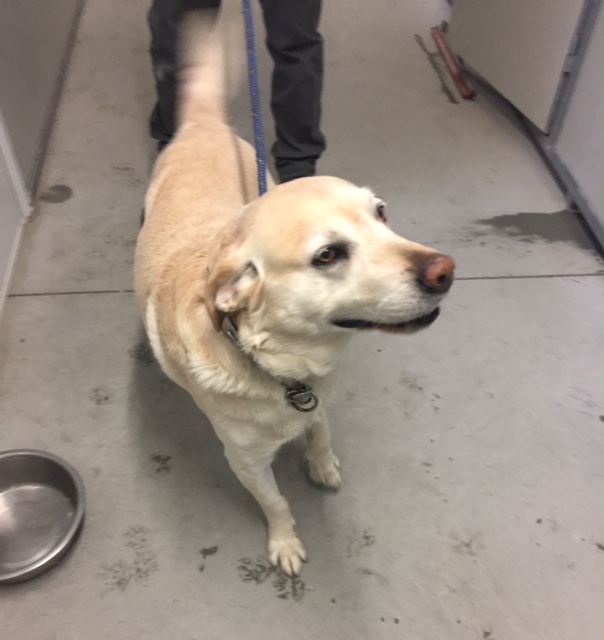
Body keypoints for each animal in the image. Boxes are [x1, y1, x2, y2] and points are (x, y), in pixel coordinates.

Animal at [133, 13, 452, 576]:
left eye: (381, 213)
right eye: (327, 255)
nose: (445, 271)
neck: (285, 370)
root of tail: (202, 125)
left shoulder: (320, 403)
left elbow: (321, 434)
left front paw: (321, 464)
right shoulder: (244, 461)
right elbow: (276, 502)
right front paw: (284, 542)